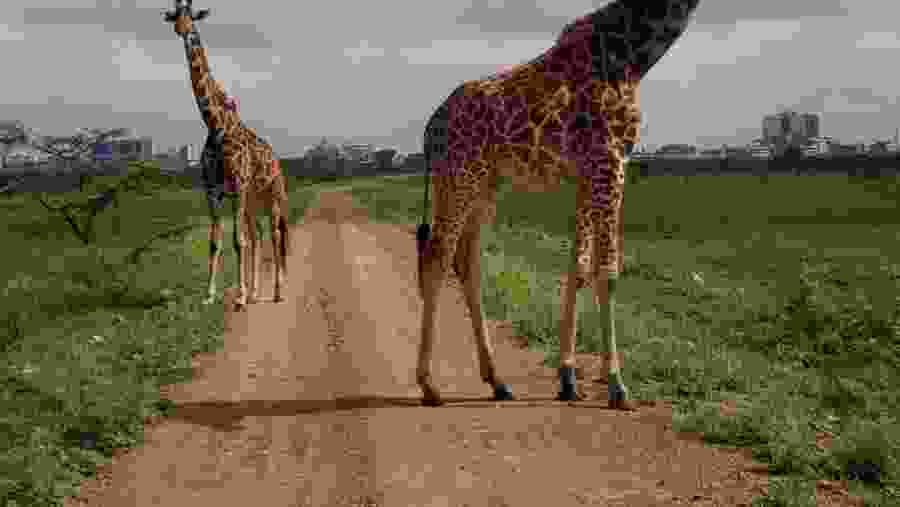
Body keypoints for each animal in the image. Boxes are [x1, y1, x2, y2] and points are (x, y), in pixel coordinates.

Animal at [164, 0, 289, 310]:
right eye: (175, 15)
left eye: (192, 17)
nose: (182, 30)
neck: (216, 126)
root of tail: (276, 160)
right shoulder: (214, 189)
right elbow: (216, 241)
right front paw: (210, 294)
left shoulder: (239, 185)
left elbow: (237, 240)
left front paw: (240, 295)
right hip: (254, 199)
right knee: (258, 235)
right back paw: (257, 292)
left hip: (272, 194)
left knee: (275, 233)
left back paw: (277, 291)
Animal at [415, 0, 700, 408]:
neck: (633, 56)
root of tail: (430, 130)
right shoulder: (611, 161)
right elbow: (608, 273)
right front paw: (617, 386)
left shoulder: (585, 173)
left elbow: (577, 268)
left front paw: (567, 379)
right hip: (462, 176)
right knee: (437, 256)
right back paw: (429, 385)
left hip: (482, 183)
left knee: (465, 260)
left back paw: (498, 382)